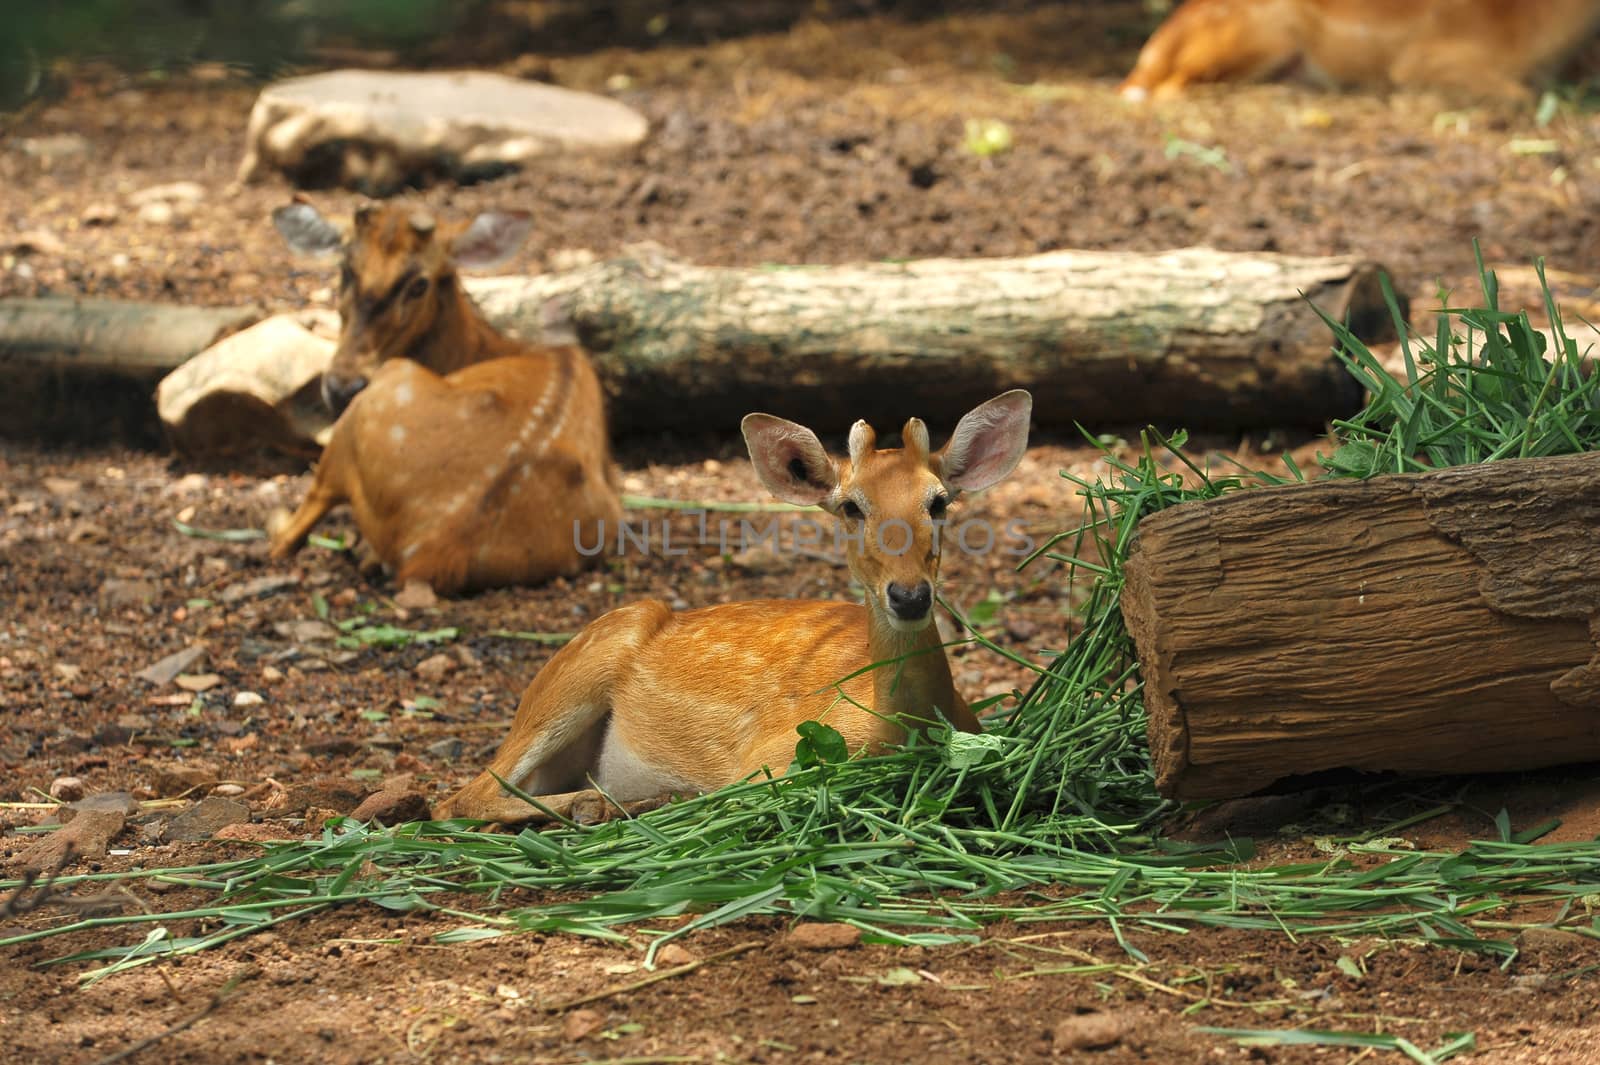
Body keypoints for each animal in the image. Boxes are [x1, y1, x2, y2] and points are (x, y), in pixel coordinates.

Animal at [268, 203, 617, 591]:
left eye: (420, 283)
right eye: (345, 268)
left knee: (293, 529)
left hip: (380, 393)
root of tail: (431, 550)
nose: (342, 385)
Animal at [432, 390, 1030, 818]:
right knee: (459, 799)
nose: (909, 595)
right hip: (582, 665)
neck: (896, 725)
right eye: (851, 507)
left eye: (940, 502)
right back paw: (613, 804)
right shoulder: (761, 763)